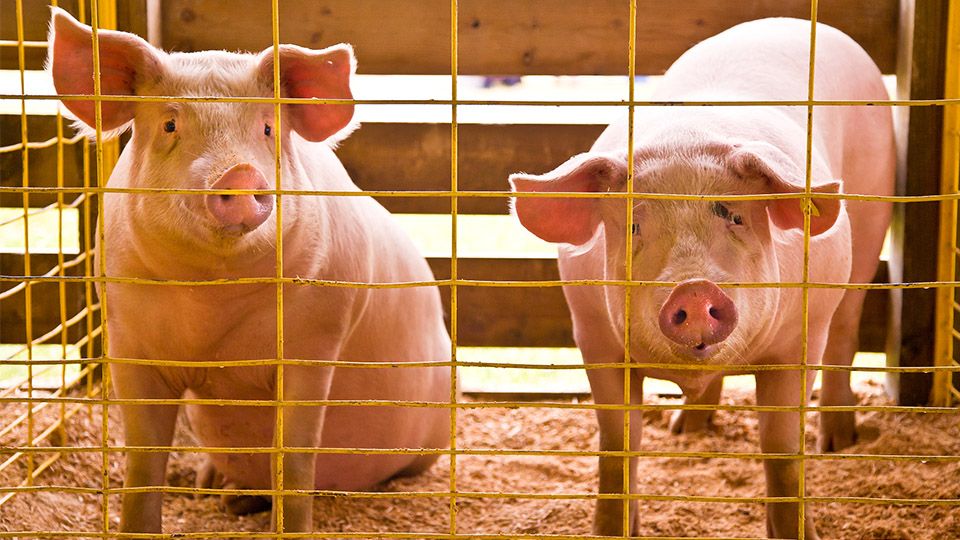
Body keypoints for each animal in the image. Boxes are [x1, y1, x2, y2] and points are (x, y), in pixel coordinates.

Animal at [48, 8, 450, 535]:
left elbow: (294, 459)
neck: (211, 299)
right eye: (170, 124)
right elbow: (143, 460)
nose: (238, 173)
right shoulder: (127, 336)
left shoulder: (315, 337)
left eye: (266, 128)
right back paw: (219, 492)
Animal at [509, 18, 894, 539]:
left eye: (735, 217)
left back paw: (837, 441)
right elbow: (617, 441)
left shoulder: (800, 339)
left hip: (872, 221)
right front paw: (614, 528)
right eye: (633, 226)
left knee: (847, 330)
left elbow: (781, 448)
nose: (692, 287)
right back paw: (686, 428)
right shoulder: (591, 333)